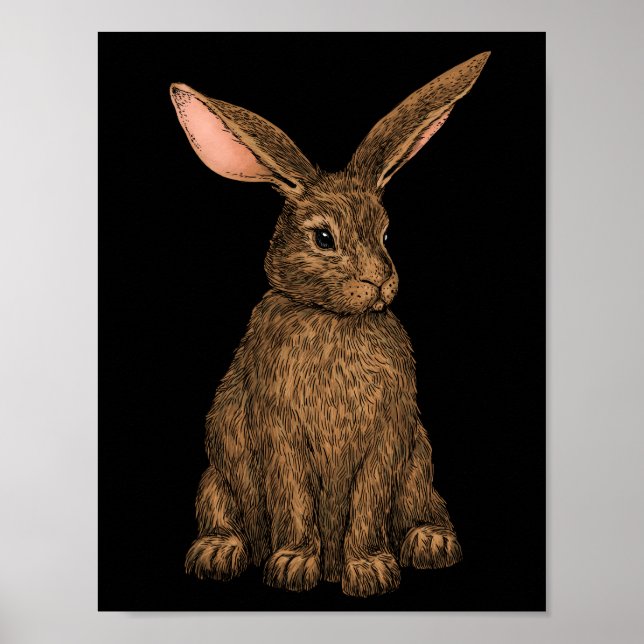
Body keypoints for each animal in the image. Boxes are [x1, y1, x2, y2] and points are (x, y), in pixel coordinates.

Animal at [170, 51, 489, 598]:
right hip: (215, 482)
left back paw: (431, 544)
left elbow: (367, 504)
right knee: (222, 513)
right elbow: (294, 500)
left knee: (420, 508)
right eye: (323, 238)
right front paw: (294, 566)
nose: (380, 280)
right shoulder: (279, 434)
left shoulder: (388, 437)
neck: (333, 318)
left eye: (386, 233)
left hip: (419, 471)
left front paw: (368, 571)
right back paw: (216, 553)